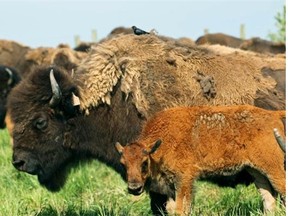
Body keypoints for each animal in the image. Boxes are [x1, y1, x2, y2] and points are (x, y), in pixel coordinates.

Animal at [115, 104, 286, 214]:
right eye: (123, 164)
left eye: (144, 162)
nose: (134, 188)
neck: (161, 143)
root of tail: (272, 115)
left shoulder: (184, 178)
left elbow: (180, 209)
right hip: (257, 172)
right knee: (269, 200)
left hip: (273, 168)